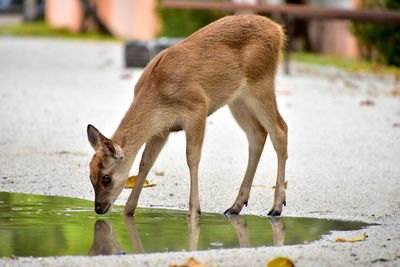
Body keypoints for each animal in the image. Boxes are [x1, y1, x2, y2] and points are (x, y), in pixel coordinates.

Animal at [86, 15, 288, 220]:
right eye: (90, 176)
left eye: (106, 177)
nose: (99, 208)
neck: (158, 94)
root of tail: (278, 30)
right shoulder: (162, 129)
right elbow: (145, 162)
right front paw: (128, 210)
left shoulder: (197, 109)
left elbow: (192, 157)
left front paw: (194, 210)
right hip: (238, 99)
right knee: (257, 134)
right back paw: (236, 206)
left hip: (261, 81)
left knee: (280, 130)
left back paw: (276, 207)